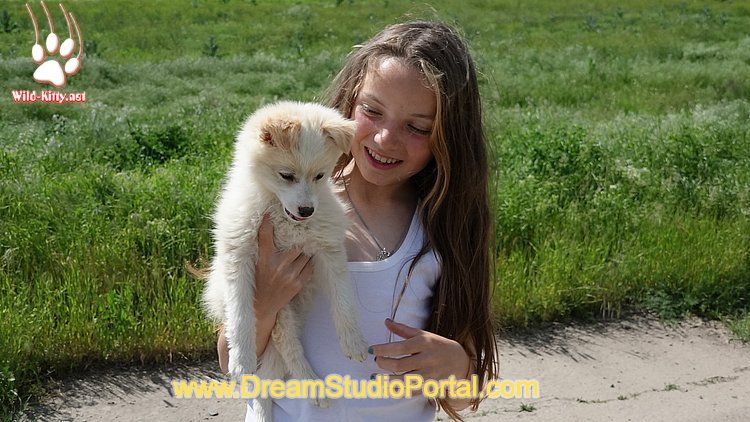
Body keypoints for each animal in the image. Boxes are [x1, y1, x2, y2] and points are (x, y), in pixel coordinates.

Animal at [203, 101, 369, 420]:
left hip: (292, 308)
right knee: (280, 349)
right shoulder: (239, 253)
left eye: (320, 176)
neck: (280, 214)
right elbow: (241, 316)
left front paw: (353, 341)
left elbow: (345, 301)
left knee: (278, 359)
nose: (306, 211)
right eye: (286, 175)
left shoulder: (328, 251)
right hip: (279, 309)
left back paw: (313, 387)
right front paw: (240, 360)